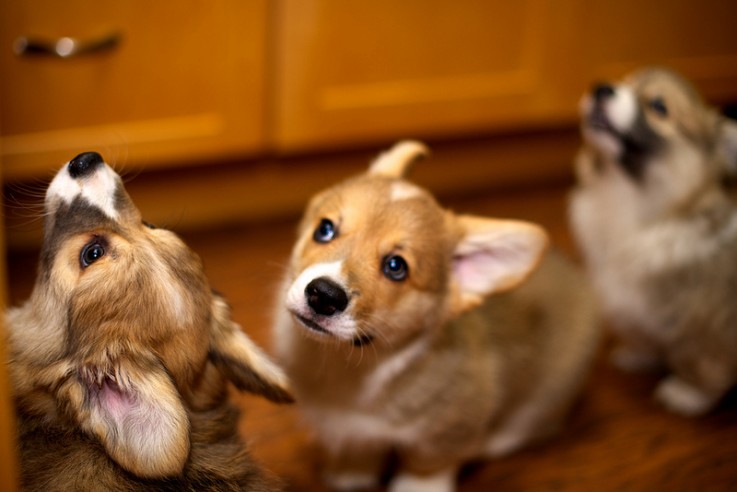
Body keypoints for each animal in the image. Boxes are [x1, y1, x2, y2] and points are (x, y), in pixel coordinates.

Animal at [270, 140, 600, 490]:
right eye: (325, 229)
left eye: (396, 267)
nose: (323, 295)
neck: (346, 368)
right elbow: (359, 447)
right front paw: (351, 473)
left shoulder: (449, 428)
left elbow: (427, 464)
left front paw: (416, 486)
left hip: (552, 392)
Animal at [572, 67, 736, 418]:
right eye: (623, 83)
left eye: (659, 107)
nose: (601, 88)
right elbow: (645, 335)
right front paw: (639, 355)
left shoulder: (706, 322)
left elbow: (700, 361)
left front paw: (686, 394)